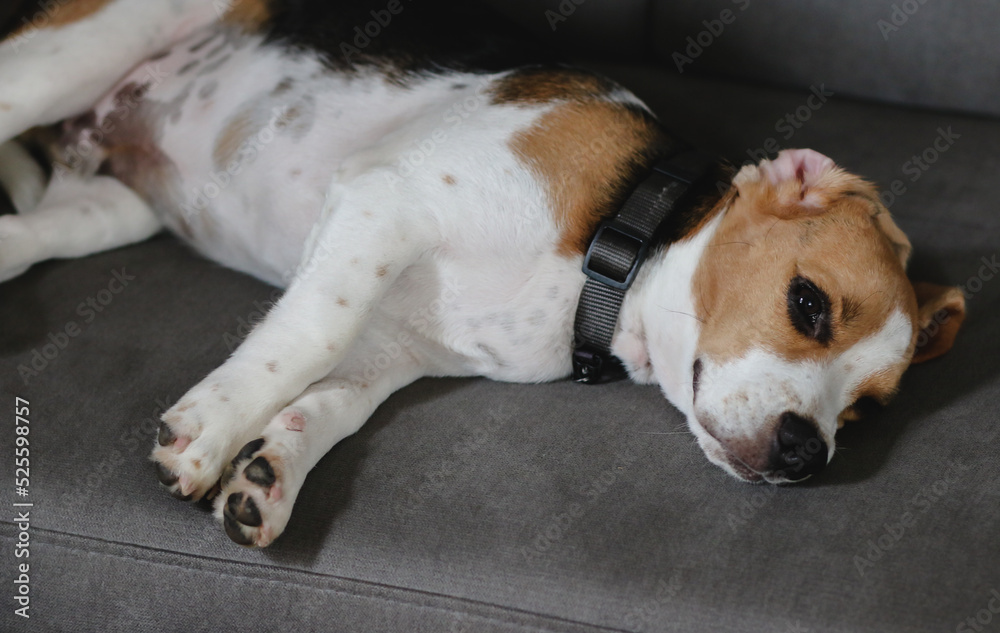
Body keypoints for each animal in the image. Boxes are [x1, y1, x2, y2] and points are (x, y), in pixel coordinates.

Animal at [0, 0, 964, 544]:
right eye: (809, 305)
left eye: (866, 412)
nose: (809, 454)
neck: (612, 257)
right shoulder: (384, 199)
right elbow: (311, 336)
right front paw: (208, 433)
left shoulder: (396, 345)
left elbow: (332, 400)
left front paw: (269, 473)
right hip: (69, 59)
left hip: (109, 208)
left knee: (24, 230)